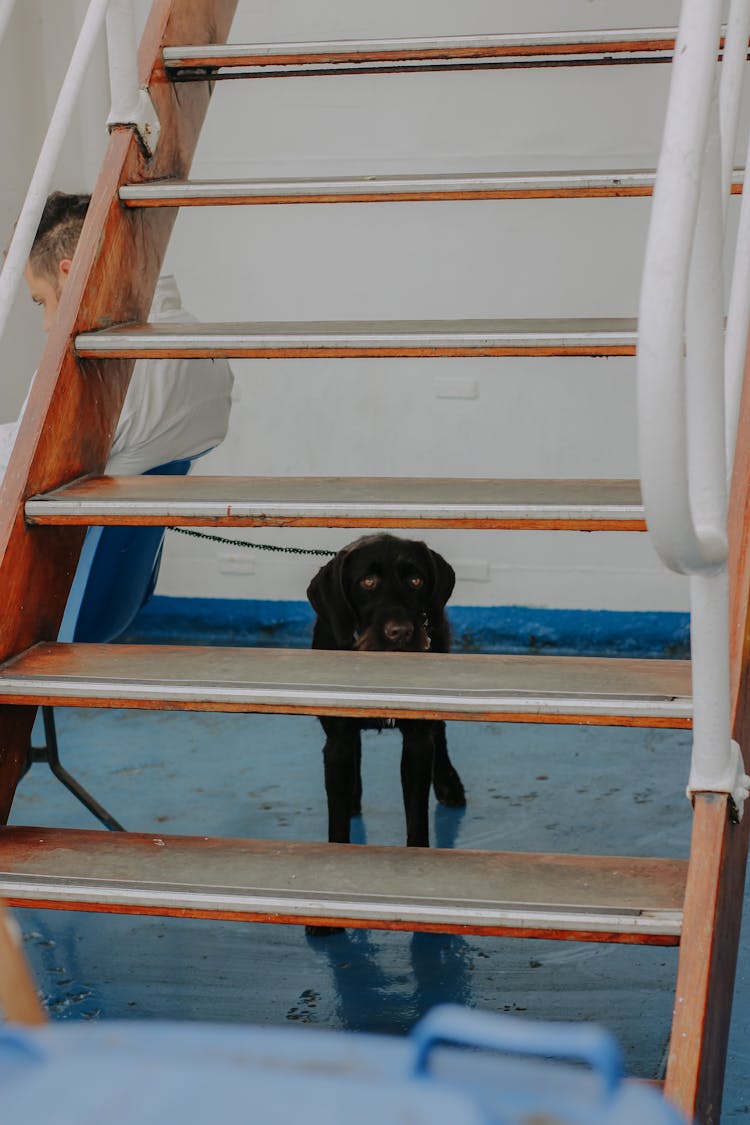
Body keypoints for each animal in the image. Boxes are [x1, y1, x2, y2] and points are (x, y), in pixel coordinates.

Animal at [308, 531, 465, 846]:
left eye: (416, 581)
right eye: (368, 582)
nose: (401, 632)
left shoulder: (417, 744)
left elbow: (416, 816)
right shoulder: (336, 744)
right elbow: (337, 819)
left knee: (439, 729)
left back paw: (447, 781)